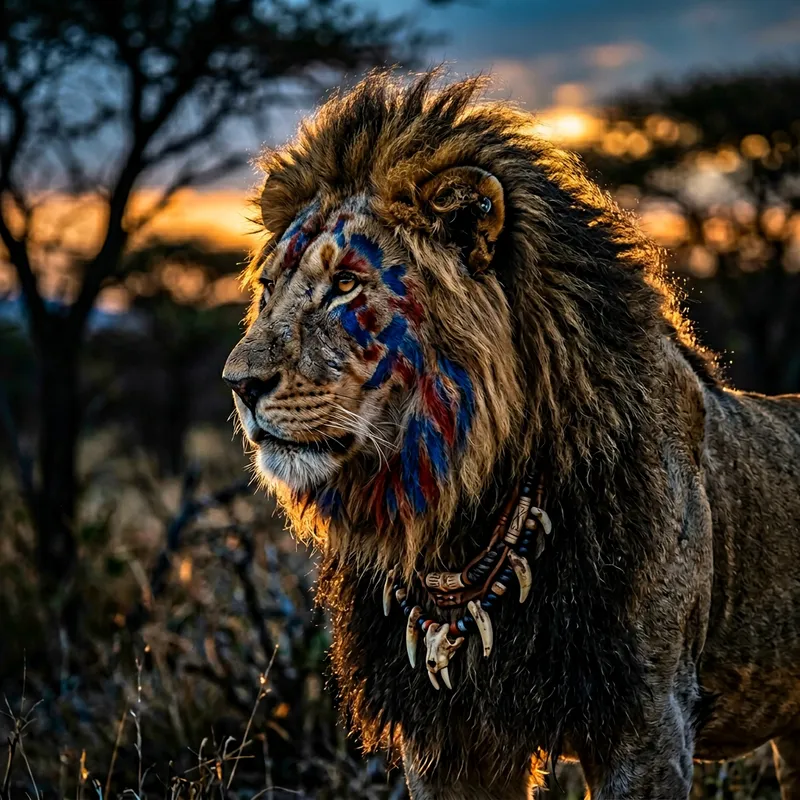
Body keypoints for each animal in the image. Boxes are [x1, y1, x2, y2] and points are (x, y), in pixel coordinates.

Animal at [223, 71, 800, 799]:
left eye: (346, 285)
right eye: (269, 288)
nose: (237, 384)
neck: (454, 513)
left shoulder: (647, 722)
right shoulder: (445, 738)